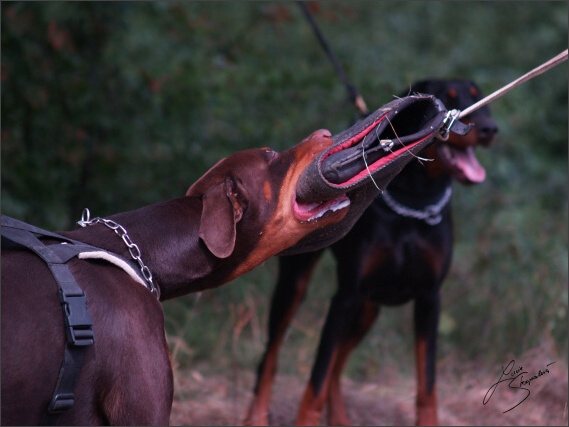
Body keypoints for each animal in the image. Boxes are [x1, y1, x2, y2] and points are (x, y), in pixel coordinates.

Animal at [244, 79, 496, 424]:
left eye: (478, 98)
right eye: (449, 97)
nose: (488, 129)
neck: (414, 202)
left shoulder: (430, 298)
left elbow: (427, 384)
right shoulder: (346, 296)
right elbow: (316, 379)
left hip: (369, 308)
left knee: (337, 366)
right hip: (297, 288)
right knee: (272, 355)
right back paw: (256, 415)